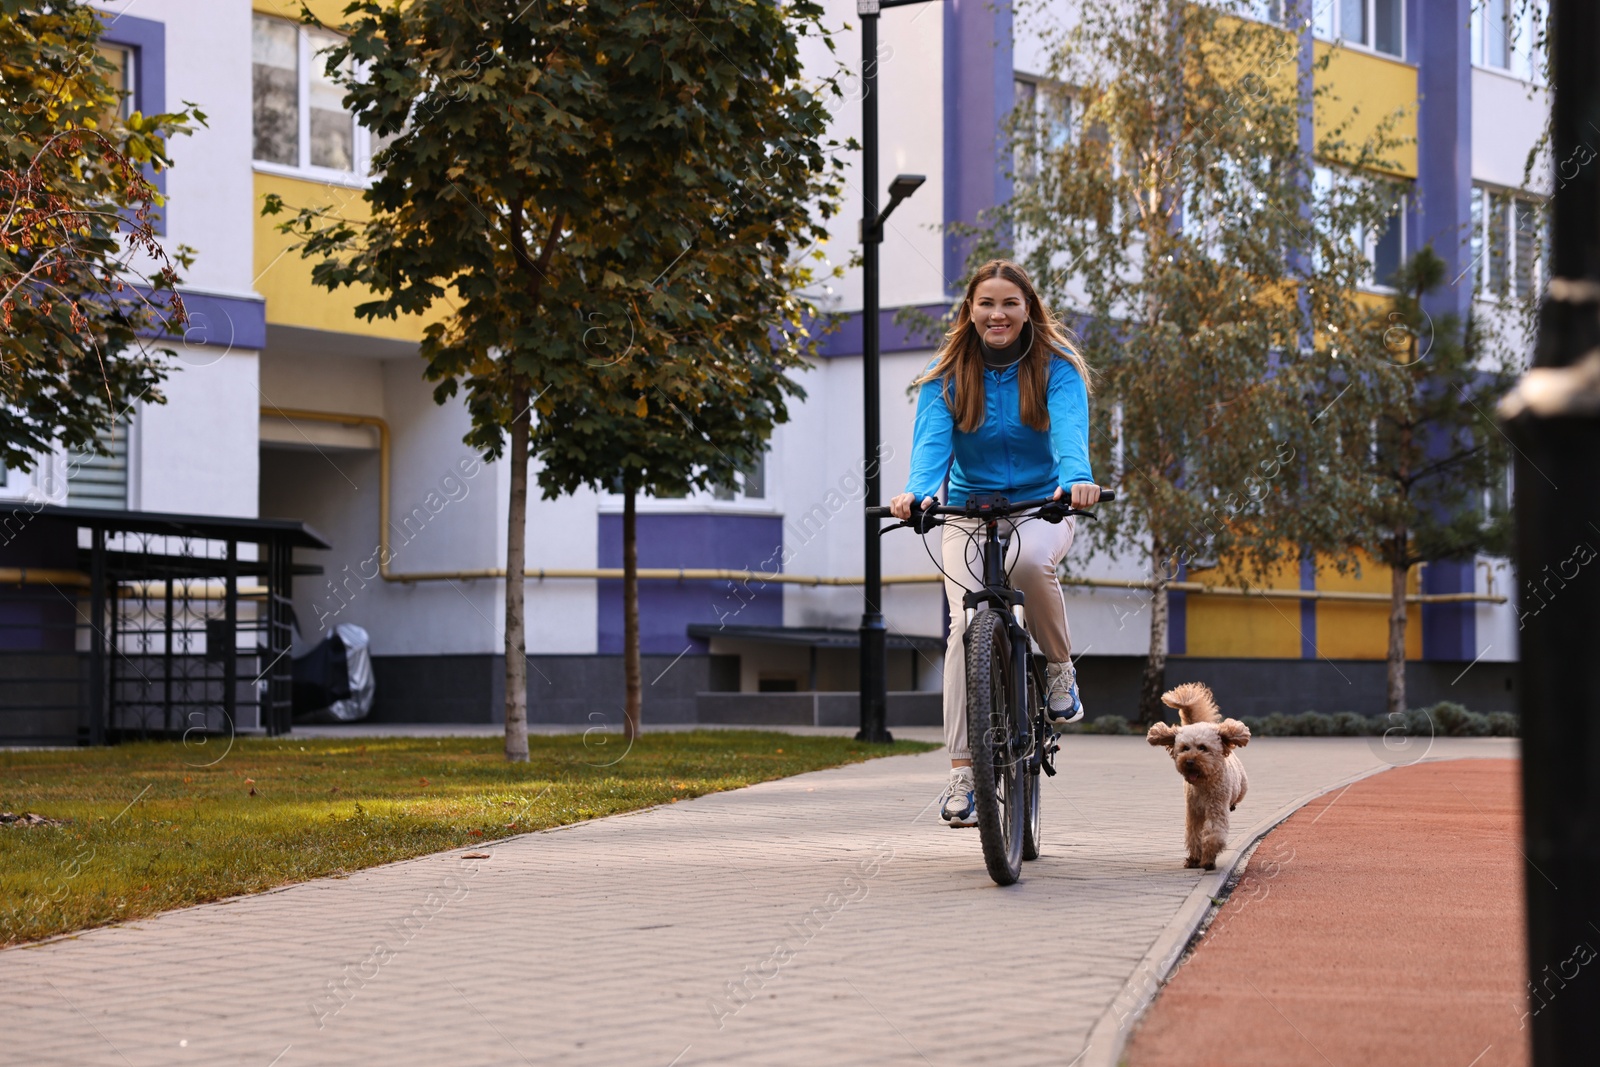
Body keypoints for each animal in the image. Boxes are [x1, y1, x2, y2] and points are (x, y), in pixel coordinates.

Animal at [1152, 684, 1248, 870]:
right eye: (1184, 748)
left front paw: (1209, 857)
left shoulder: (1216, 808)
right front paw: (1194, 858)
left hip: (1241, 788)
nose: (1189, 761)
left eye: (1203, 747)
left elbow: (1213, 833)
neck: (1203, 784)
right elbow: (1194, 834)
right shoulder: (1194, 811)